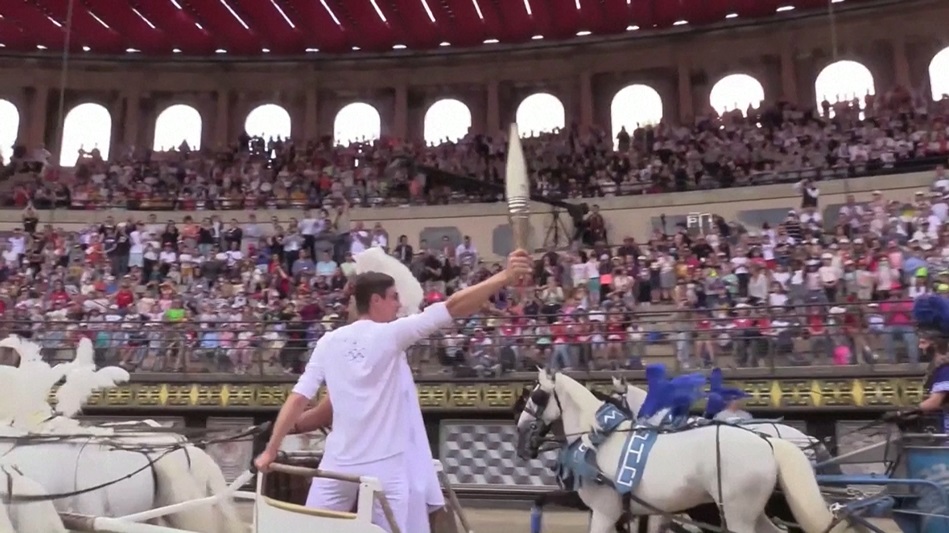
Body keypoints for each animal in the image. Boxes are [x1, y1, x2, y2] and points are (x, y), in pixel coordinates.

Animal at [520, 368, 860, 532]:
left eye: (537, 396)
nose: (522, 438)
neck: (602, 438)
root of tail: (769, 441)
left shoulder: (606, 511)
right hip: (754, 512)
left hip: (738, 514)